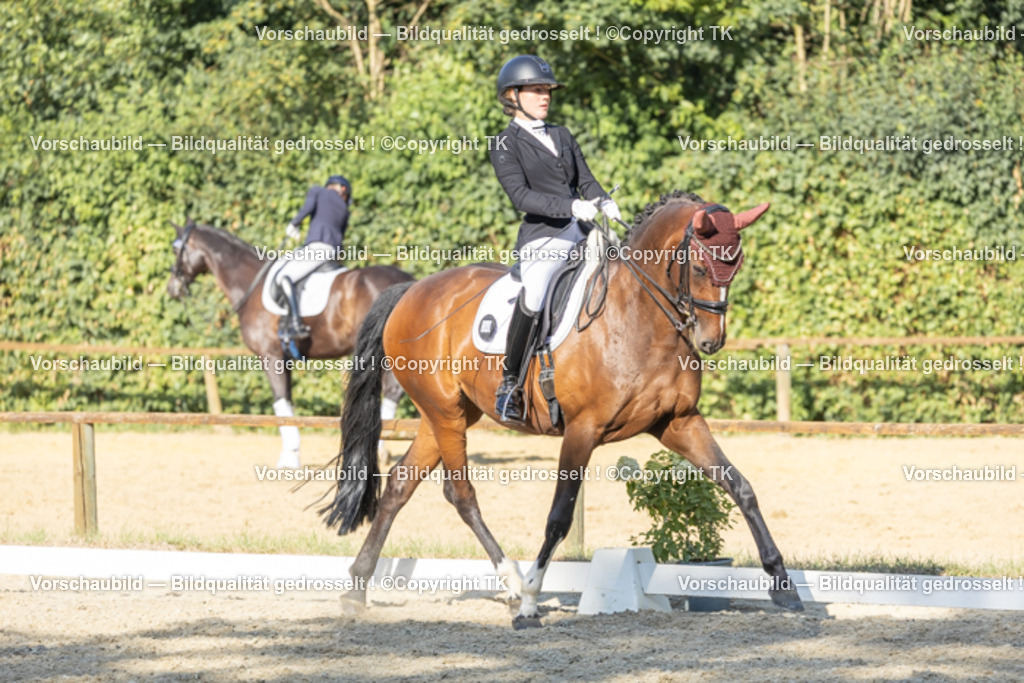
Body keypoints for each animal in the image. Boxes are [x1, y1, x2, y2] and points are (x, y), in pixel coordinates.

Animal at [167, 218, 415, 468]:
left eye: (176, 250)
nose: (172, 289)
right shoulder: (284, 359)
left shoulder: (271, 356)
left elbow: (281, 403)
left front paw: (289, 455)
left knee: (392, 391)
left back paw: (382, 448)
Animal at [320, 191, 804, 627]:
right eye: (701, 267)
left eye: (736, 266)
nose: (710, 341)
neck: (640, 318)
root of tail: (411, 290)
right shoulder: (582, 430)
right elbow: (559, 517)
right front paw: (531, 602)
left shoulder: (677, 422)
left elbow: (739, 486)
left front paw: (784, 585)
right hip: (444, 413)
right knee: (460, 494)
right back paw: (513, 585)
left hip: (448, 414)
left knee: (401, 484)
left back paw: (356, 589)